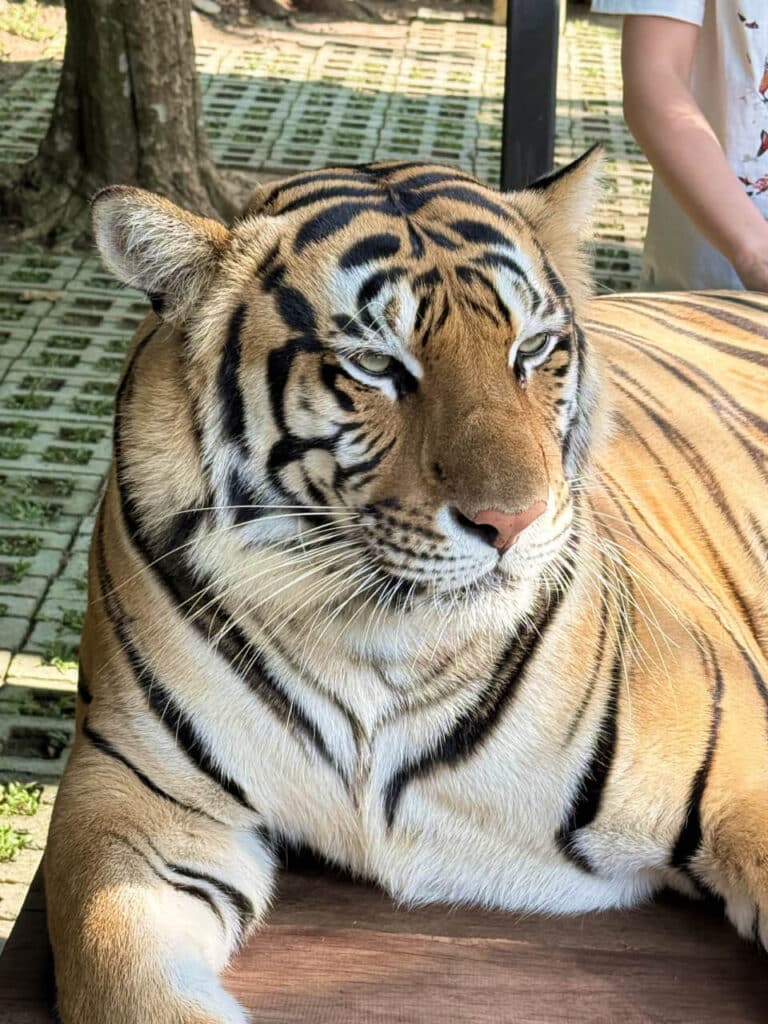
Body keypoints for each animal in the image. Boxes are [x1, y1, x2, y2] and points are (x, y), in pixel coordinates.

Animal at [43, 148, 768, 1024]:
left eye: (533, 349)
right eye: (376, 365)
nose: (513, 521)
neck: (383, 643)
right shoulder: (134, 803)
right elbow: (115, 971)